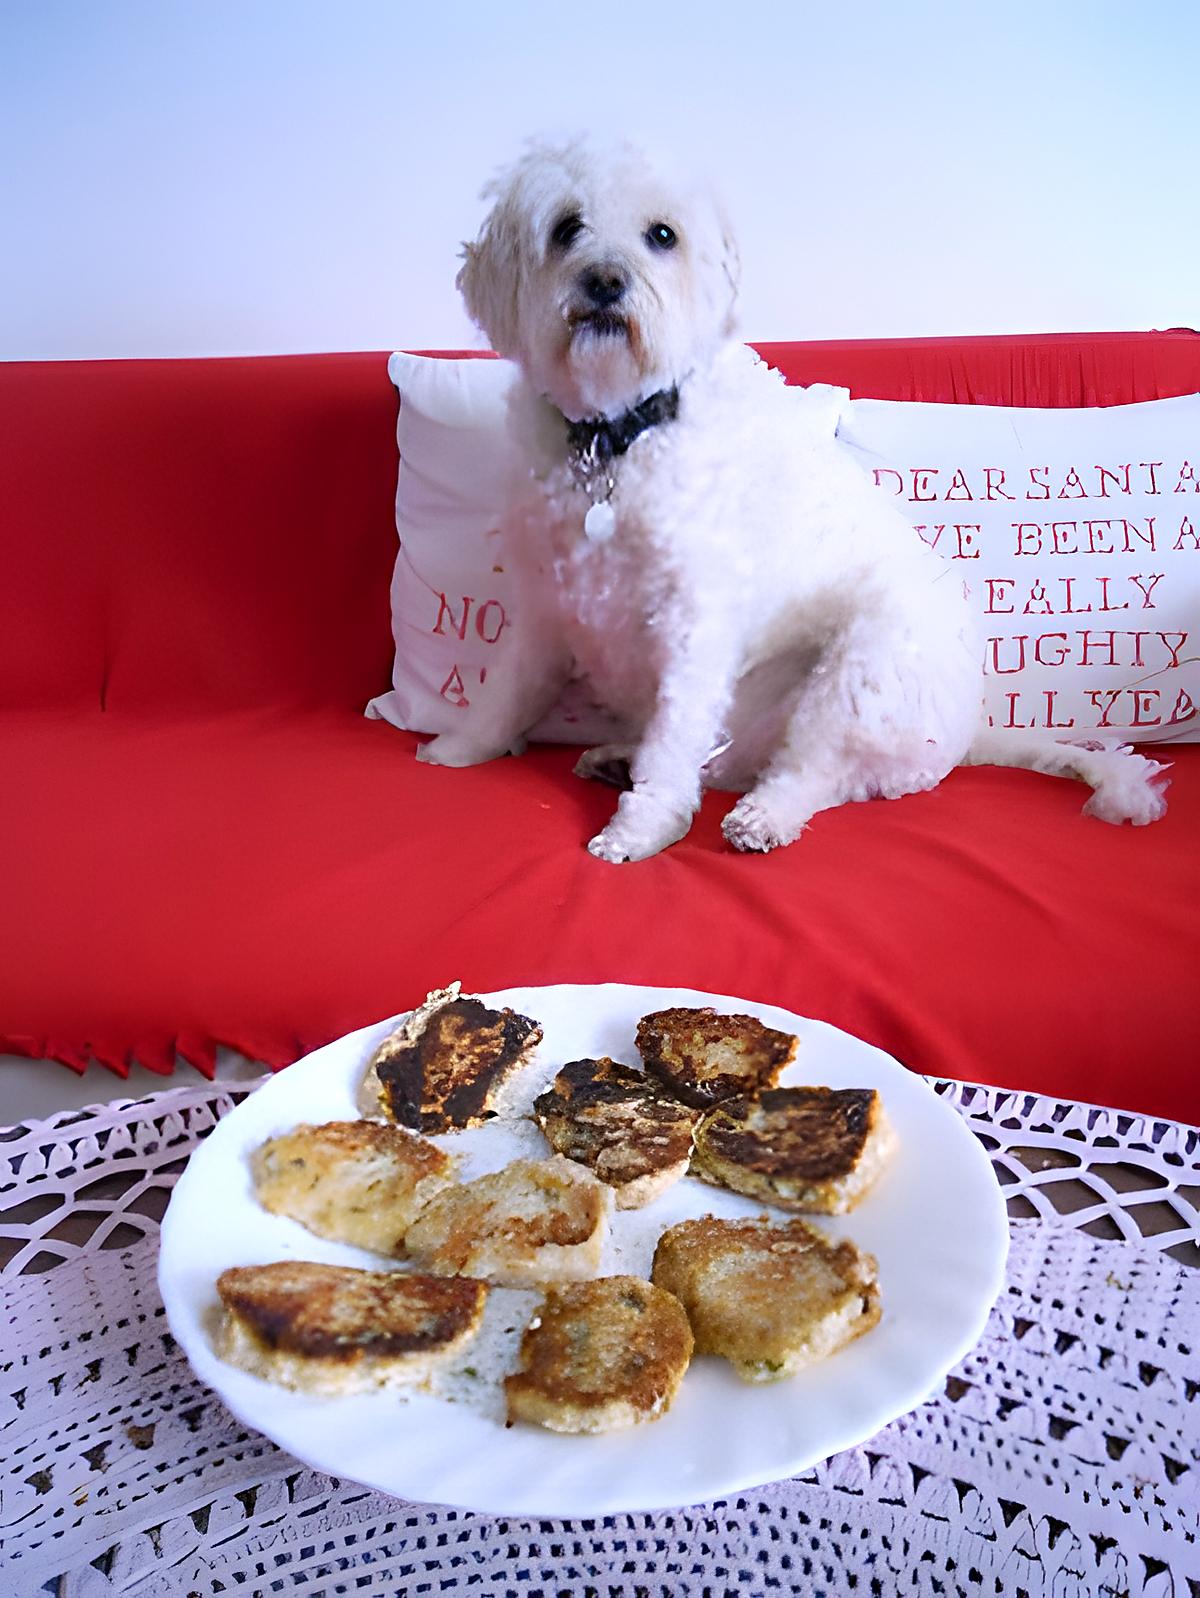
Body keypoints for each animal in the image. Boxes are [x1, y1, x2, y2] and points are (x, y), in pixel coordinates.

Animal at [418, 137, 1169, 862]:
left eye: (662, 235)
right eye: (567, 228)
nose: (604, 281)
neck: (616, 437)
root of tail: (968, 738)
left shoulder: (694, 624)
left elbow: (673, 740)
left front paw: (642, 828)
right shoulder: (548, 604)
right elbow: (507, 690)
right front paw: (460, 750)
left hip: (859, 673)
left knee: (813, 775)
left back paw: (762, 817)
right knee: (731, 762)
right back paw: (619, 758)